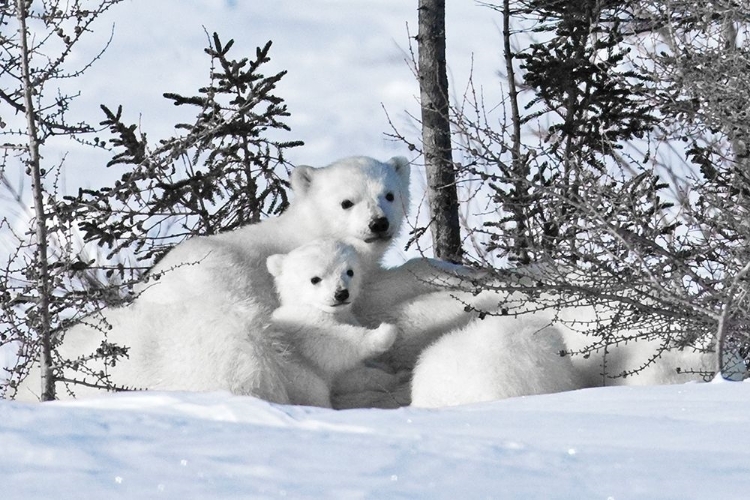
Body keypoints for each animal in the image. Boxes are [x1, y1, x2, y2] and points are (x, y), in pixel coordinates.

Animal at [268, 238, 402, 406]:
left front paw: (388, 370)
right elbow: (333, 343)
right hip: (298, 376)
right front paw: (385, 332)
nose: (341, 293)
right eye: (315, 279)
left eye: (350, 271)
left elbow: (355, 375)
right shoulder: (304, 325)